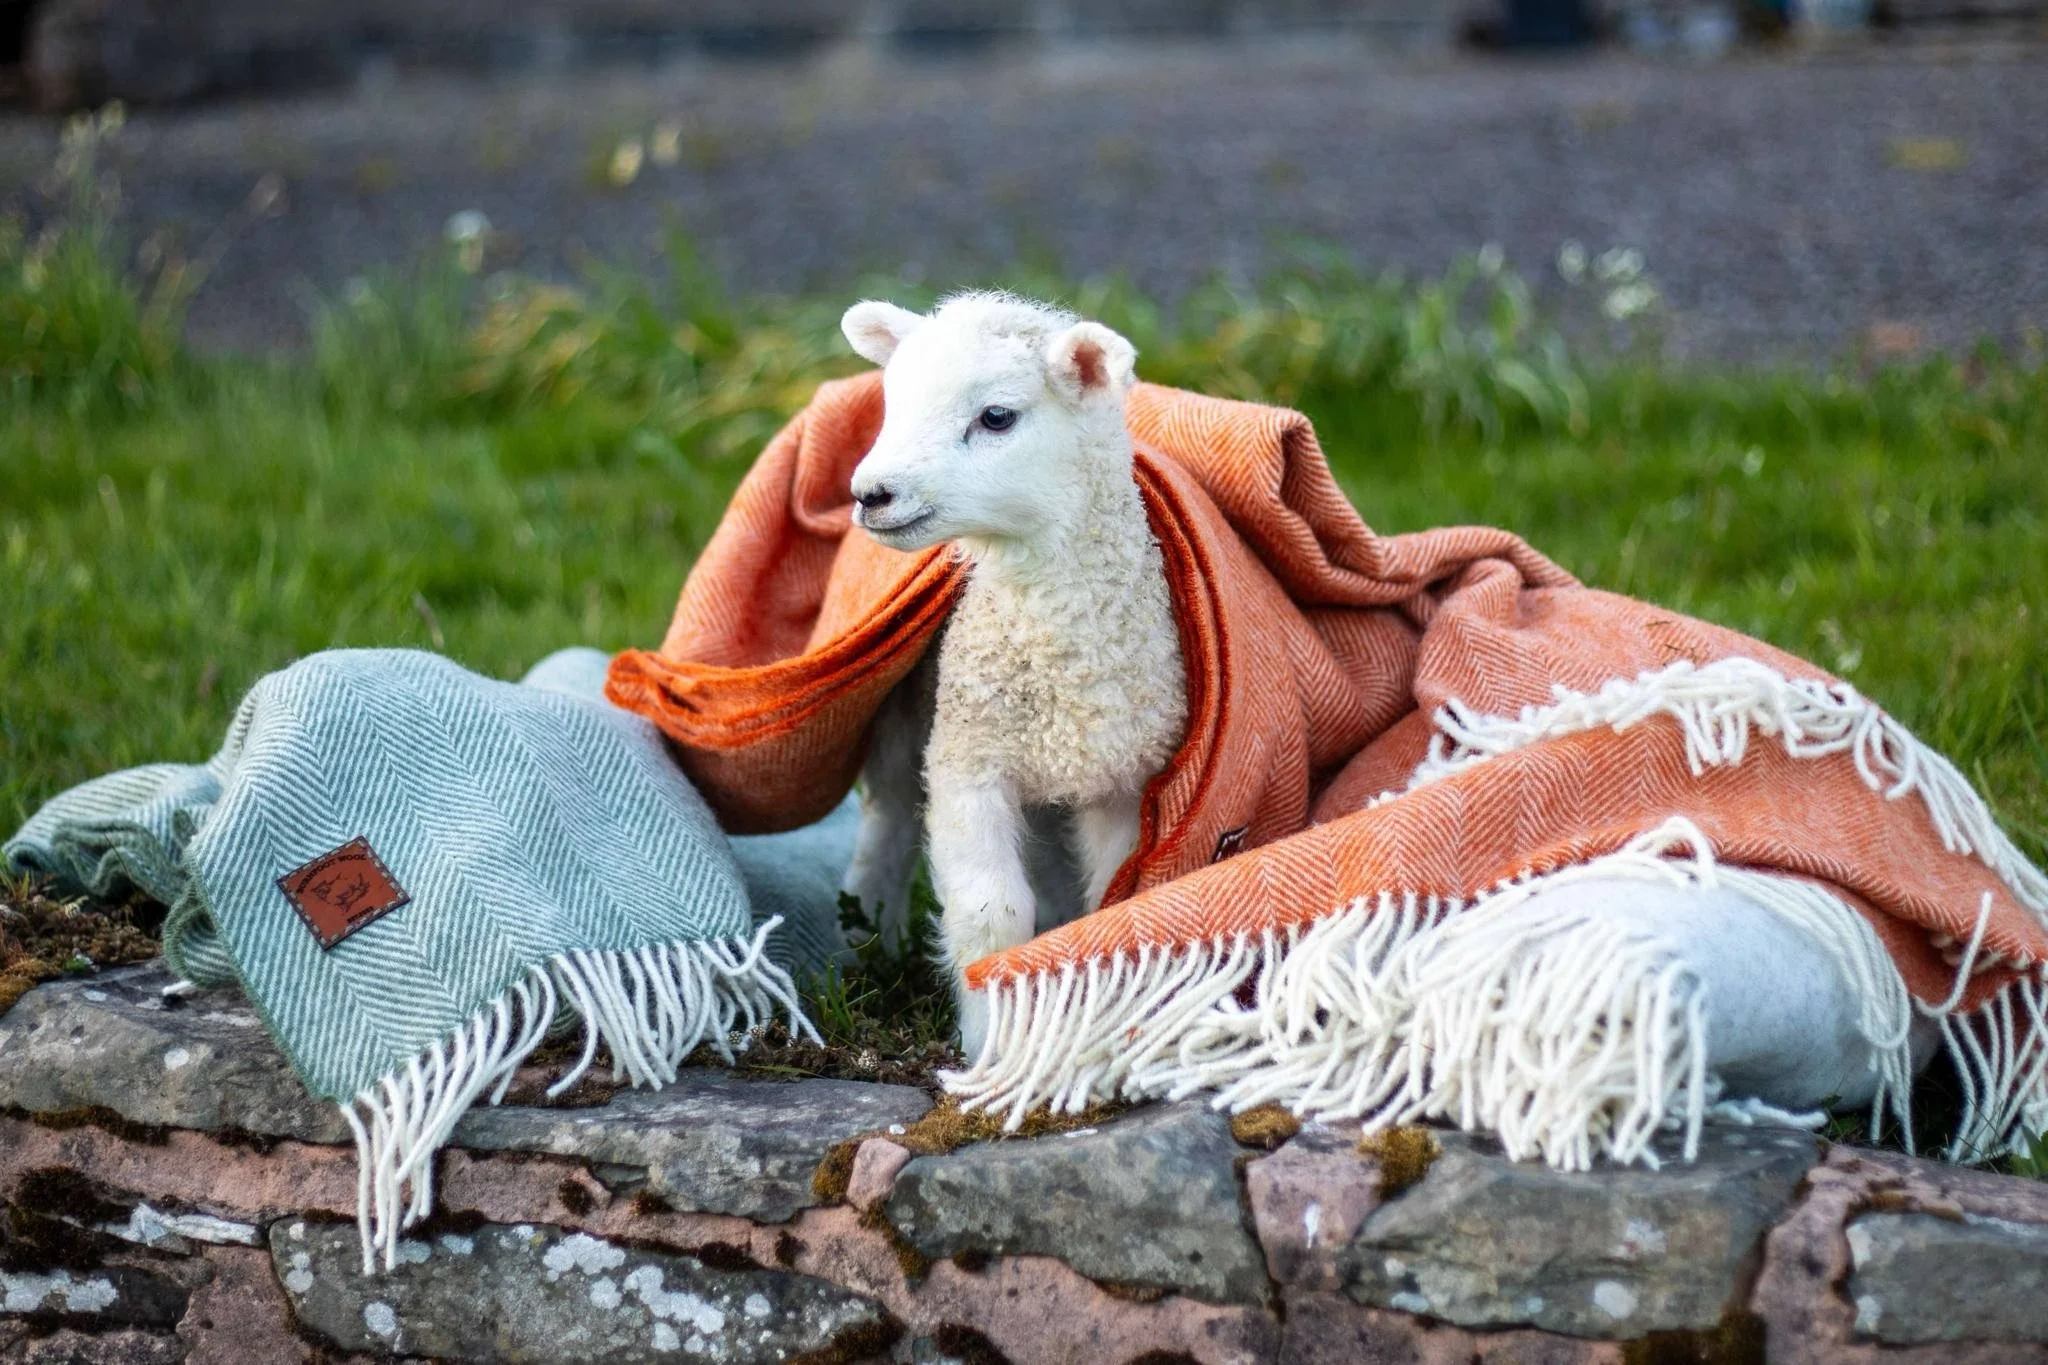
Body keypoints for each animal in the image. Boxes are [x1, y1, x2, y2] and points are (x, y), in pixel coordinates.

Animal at [836, 291, 1188, 1055]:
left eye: (996, 417)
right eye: (891, 401)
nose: (872, 493)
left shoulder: (1122, 776)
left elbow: (1108, 903)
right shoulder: (968, 757)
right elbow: (989, 910)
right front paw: (988, 1041)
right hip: (904, 725)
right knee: (888, 823)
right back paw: (868, 943)